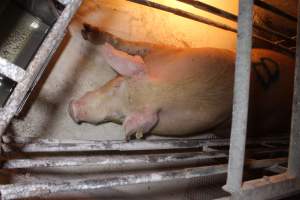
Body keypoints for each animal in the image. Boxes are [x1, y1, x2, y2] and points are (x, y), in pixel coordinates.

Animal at [68, 23, 296, 140]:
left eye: (120, 115)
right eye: (117, 83)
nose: (73, 109)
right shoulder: (164, 49)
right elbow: (132, 45)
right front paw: (87, 31)